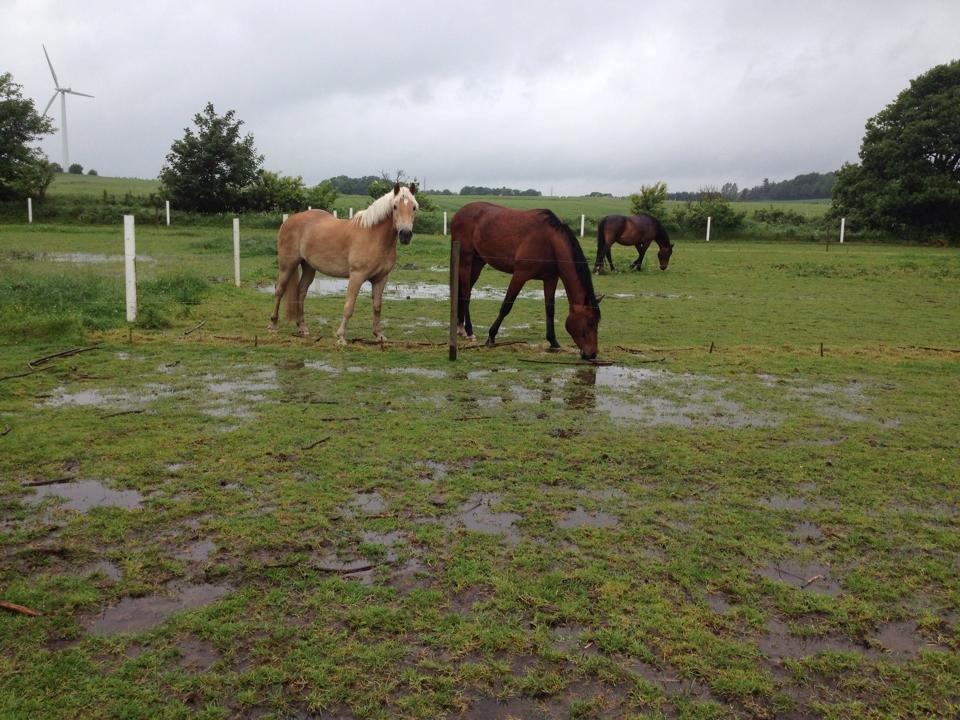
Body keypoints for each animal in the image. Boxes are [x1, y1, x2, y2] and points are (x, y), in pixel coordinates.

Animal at [272, 184, 418, 344]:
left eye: (414, 207)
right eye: (395, 206)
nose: (405, 234)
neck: (374, 236)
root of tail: (288, 221)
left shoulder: (381, 279)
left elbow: (377, 306)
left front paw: (379, 334)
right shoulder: (357, 276)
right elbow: (349, 306)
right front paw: (341, 337)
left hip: (309, 267)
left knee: (301, 291)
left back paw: (302, 327)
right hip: (287, 265)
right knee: (279, 290)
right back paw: (272, 324)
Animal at [450, 202, 600, 360]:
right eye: (590, 322)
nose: (592, 354)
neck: (549, 241)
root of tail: (459, 214)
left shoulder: (550, 279)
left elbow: (550, 309)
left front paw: (553, 342)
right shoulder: (520, 275)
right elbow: (506, 306)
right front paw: (491, 337)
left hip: (478, 261)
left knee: (464, 290)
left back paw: (460, 328)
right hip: (466, 259)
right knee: (465, 292)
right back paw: (469, 331)